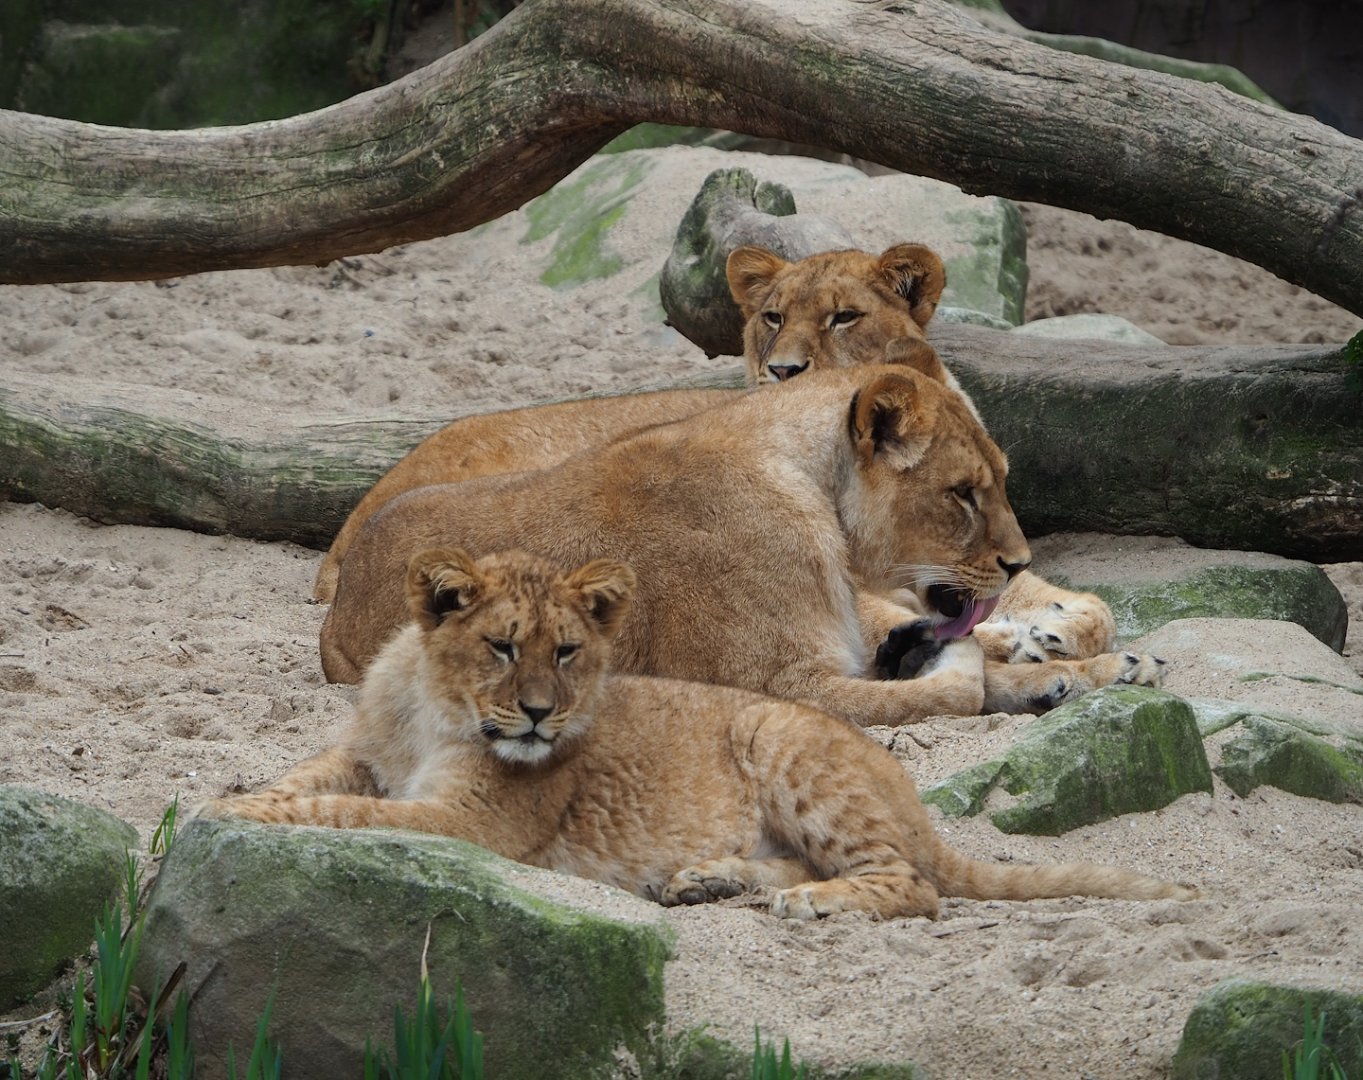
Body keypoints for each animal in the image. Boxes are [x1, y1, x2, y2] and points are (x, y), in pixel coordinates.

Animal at [204, 547, 1194, 920]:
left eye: (568, 652)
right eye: (501, 646)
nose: (540, 714)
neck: (428, 709)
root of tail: (914, 805)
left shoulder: (471, 824)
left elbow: (349, 816)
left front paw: (237, 820)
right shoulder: (359, 756)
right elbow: (308, 780)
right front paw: (230, 797)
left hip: (780, 737)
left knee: (910, 885)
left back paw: (810, 903)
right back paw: (709, 879)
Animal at [311, 242, 1117, 678]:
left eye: (843, 317)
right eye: (771, 318)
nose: (783, 370)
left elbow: (1084, 604)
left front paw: (1060, 628)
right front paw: (1032, 640)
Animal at [321, 365, 1163, 723]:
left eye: (1000, 480)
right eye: (962, 492)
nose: (1018, 562)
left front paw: (1080, 671)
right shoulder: (773, 685)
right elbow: (951, 688)